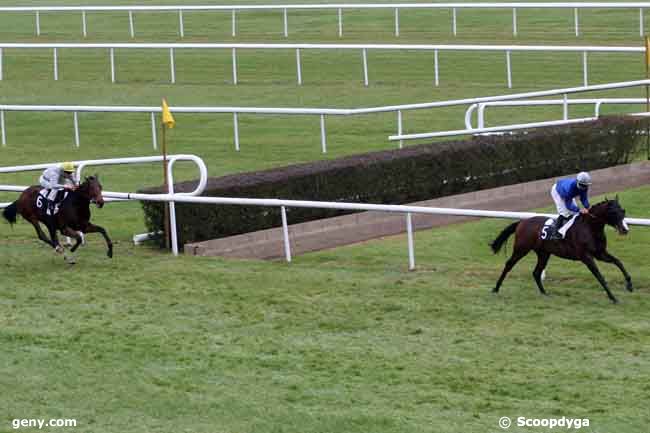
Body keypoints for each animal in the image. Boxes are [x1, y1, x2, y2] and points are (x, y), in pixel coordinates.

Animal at [488, 198, 632, 302]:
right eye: (613, 212)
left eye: (623, 211)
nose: (625, 229)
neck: (590, 227)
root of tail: (522, 222)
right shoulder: (586, 257)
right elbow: (599, 276)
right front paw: (613, 297)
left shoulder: (600, 253)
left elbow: (618, 262)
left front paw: (629, 285)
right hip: (521, 249)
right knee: (509, 264)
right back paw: (496, 288)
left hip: (544, 253)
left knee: (536, 272)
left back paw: (544, 293)